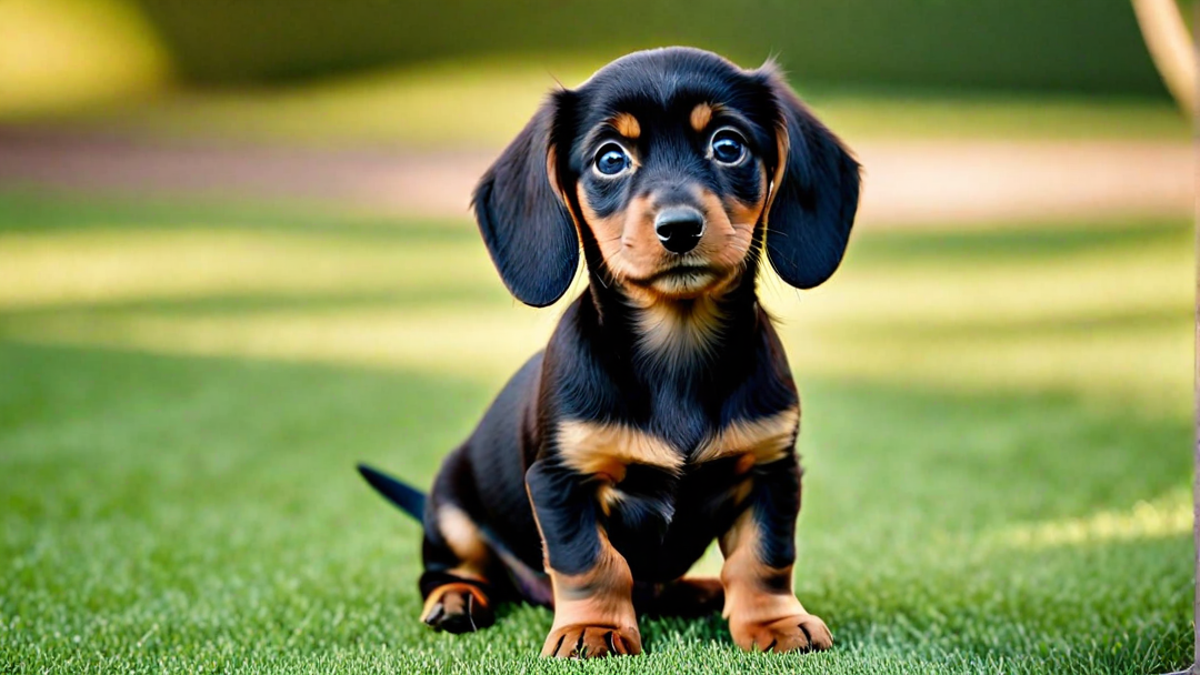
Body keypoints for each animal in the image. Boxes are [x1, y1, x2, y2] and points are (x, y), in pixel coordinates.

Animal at [352, 45, 854, 658]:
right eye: (610, 159)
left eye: (728, 145)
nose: (679, 228)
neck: (677, 352)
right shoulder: (560, 482)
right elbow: (591, 561)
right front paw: (592, 628)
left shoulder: (771, 470)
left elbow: (765, 559)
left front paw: (776, 622)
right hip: (451, 511)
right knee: (448, 570)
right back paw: (457, 598)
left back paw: (699, 590)